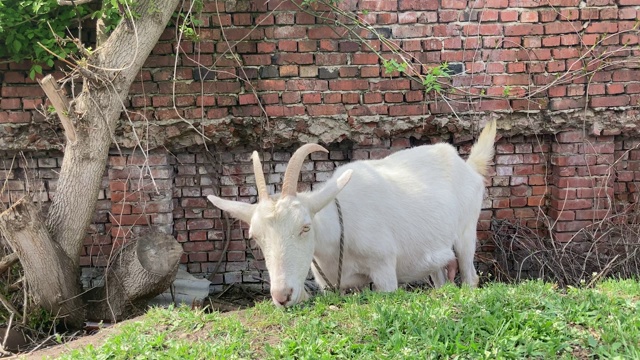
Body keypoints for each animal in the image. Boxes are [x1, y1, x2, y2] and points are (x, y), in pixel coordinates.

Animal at [208, 119, 498, 306]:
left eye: (305, 227)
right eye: (255, 237)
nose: (282, 296)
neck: (338, 231)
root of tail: (468, 167)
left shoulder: (383, 268)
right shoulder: (330, 285)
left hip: (466, 234)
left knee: (470, 276)